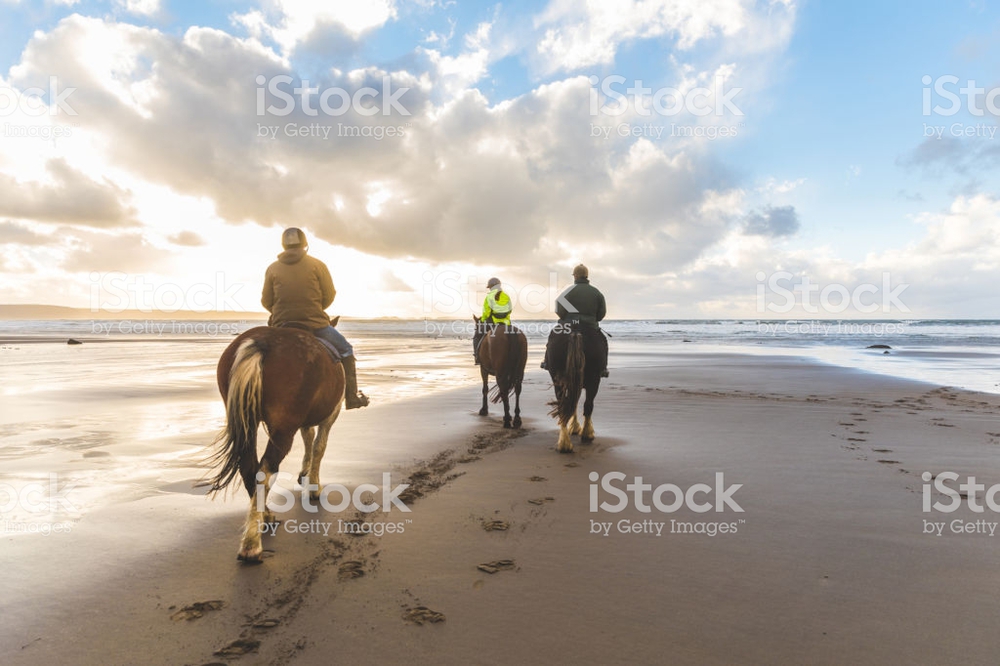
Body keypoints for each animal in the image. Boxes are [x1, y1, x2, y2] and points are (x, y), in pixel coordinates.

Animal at [206, 322, 344, 560]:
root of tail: (262, 341)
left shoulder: (306, 421)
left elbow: (308, 440)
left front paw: (304, 473)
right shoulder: (329, 417)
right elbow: (319, 447)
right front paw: (314, 487)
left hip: (248, 424)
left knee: (249, 468)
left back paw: (266, 515)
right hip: (282, 430)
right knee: (265, 469)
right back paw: (252, 544)